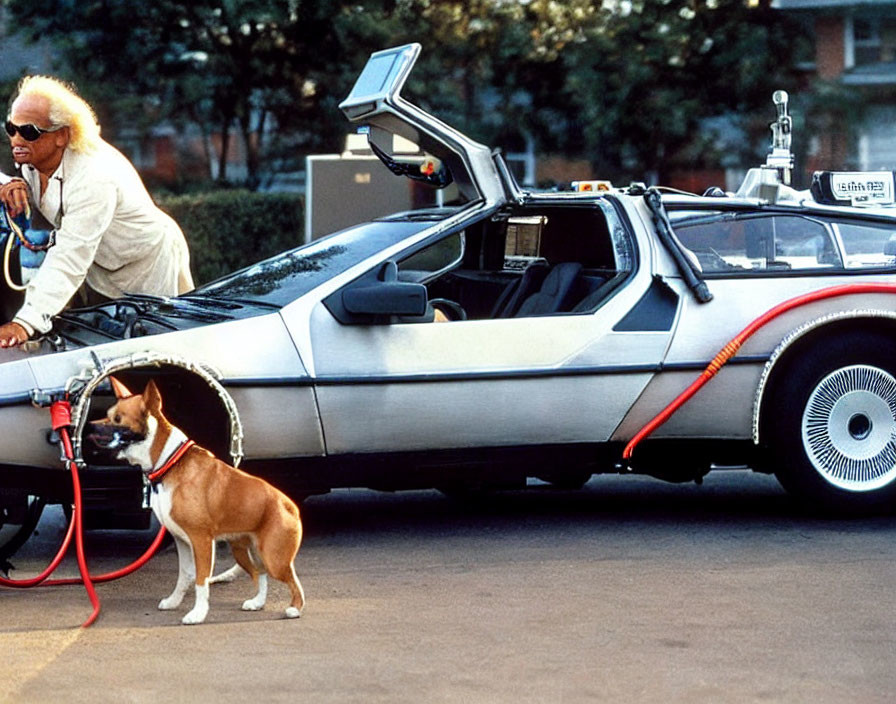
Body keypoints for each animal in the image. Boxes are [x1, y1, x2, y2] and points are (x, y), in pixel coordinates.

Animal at [88, 376, 304, 624]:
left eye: (117, 419)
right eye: (108, 414)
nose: (89, 426)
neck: (168, 463)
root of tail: (290, 505)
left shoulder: (201, 541)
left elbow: (201, 581)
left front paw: (198, 613)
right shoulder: (182, 541)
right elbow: (185, 576)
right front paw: (174, 602)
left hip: (274, 558)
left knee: (293, 581)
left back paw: (295, 609)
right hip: (244, 552)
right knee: (261, 574)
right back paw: (257, 603)